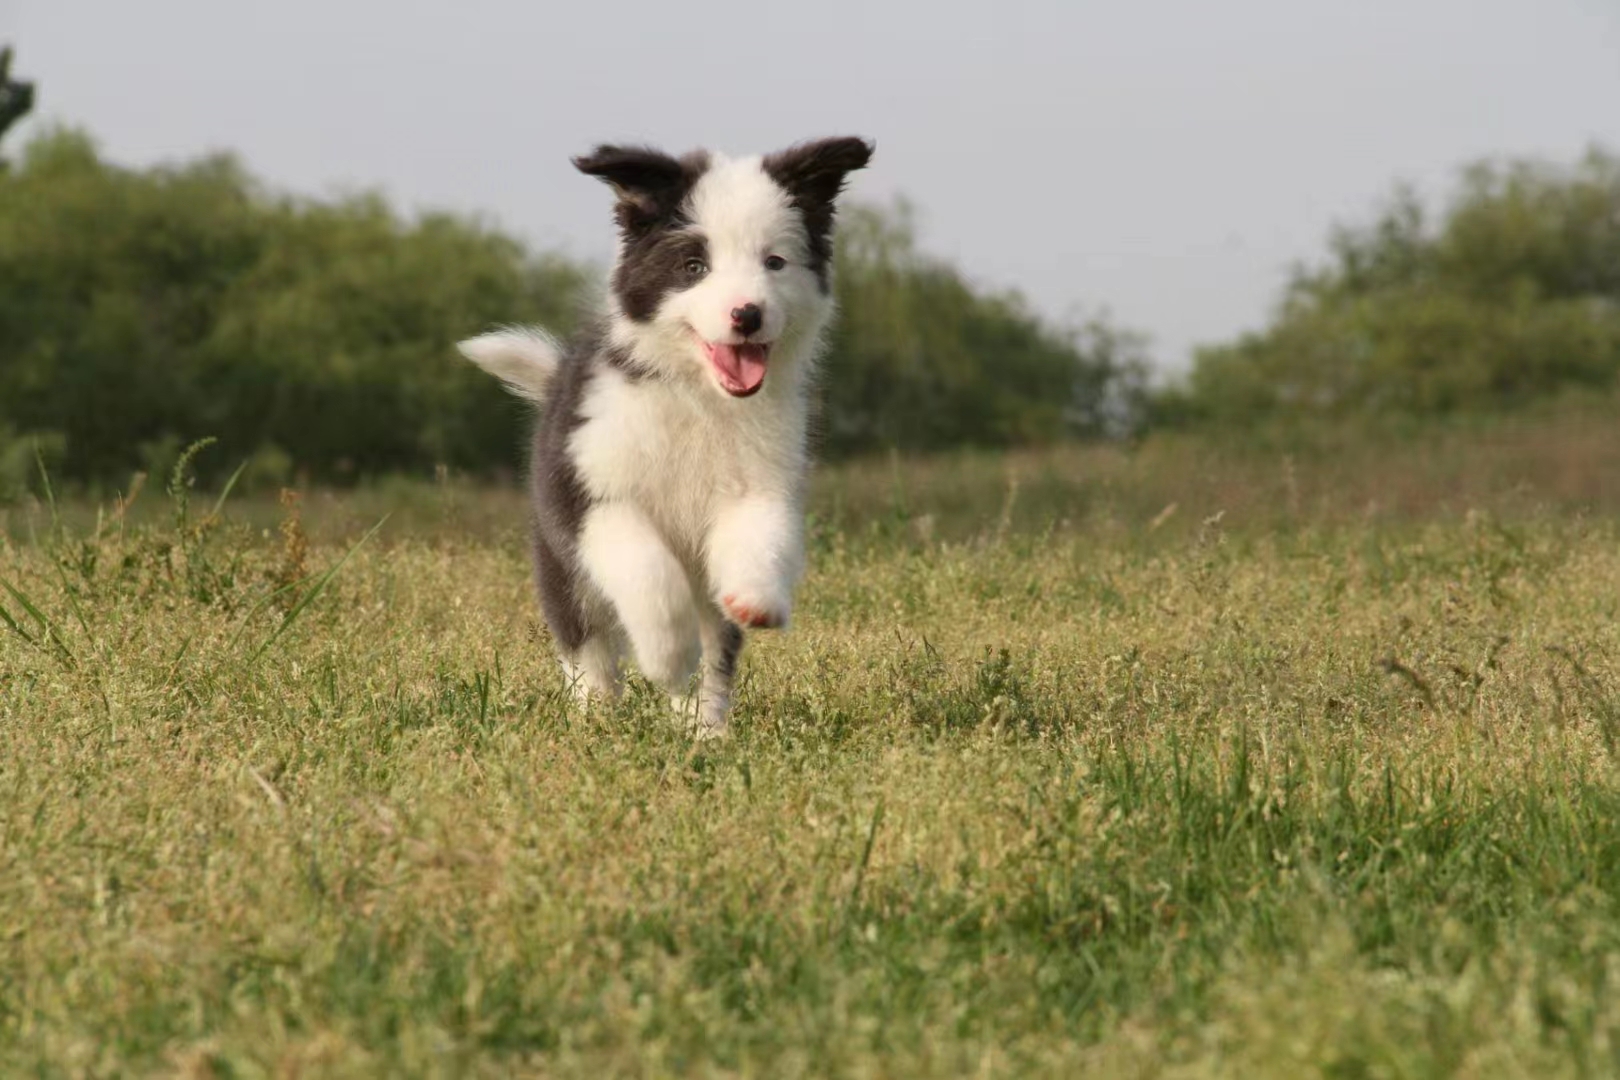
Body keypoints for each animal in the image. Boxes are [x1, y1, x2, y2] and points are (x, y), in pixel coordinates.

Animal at [456, 137, 874, 735]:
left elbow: (761, 534)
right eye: (694, 266)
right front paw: (667, 656)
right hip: (563, 570)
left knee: (714, 656)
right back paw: (598, 717)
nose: (747, 314)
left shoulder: (761, 479)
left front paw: (756, 596)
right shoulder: (591, 492)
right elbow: (647, 570)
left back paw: (705, 730)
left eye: (774, 262)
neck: (696, 396)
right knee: (588, 649)